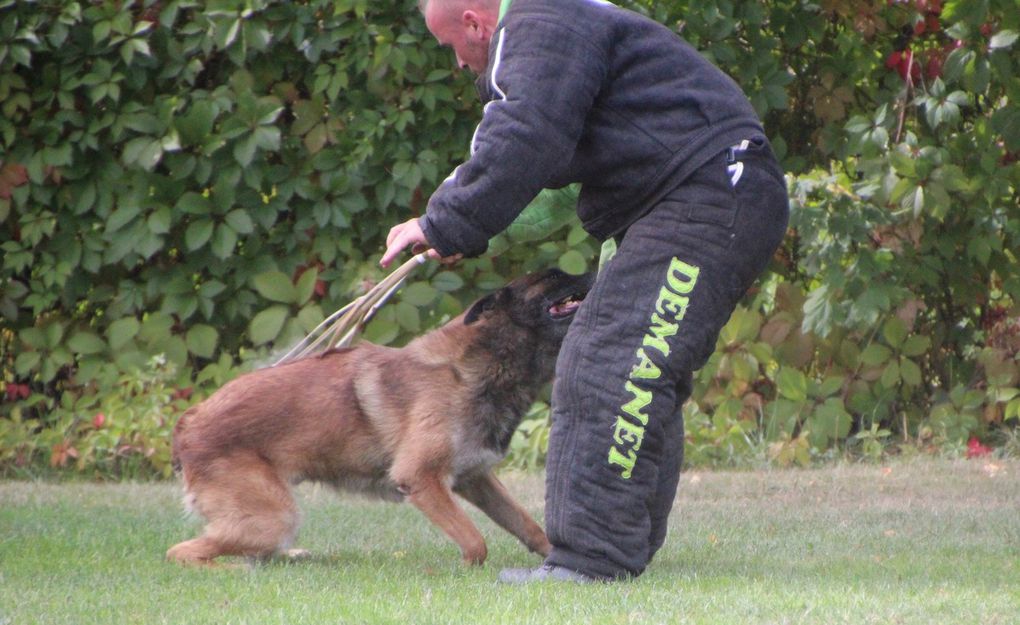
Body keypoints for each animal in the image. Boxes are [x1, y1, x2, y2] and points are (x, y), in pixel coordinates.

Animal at [164, 267, 595, 566]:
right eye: (554, 276)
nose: (596, 267)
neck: (477, 367)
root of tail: (189, 421)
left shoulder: (476, 478)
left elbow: (527, 524)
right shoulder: (421, 478)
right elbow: (476, 541)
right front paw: (464, 570)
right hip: (275, 516)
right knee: (182, 552)